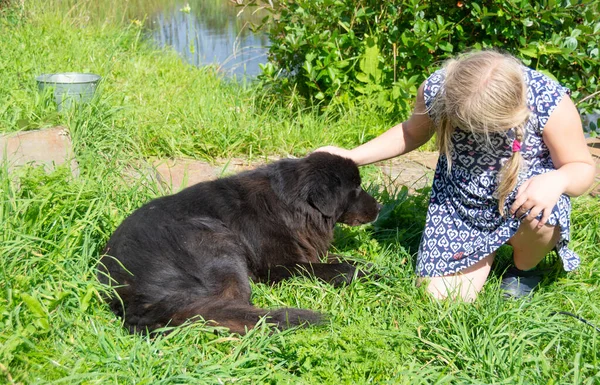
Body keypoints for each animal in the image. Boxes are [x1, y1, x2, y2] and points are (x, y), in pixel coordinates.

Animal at [98, 152, 380, 332]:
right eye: (356, 189)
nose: (379, 207)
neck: (293, 205)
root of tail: (132, 294)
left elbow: (345, 261)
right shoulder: (278, 267)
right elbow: (338, 268)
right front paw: (360, 274)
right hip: (217, 241)